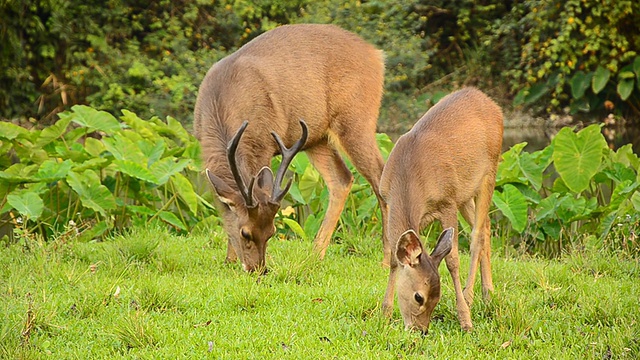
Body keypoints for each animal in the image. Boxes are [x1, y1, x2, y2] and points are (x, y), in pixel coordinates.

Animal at [192, 23, 388, 272]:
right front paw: (229, 260)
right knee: (342, 179)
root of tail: (377, 55)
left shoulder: (263, 144)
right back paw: (314, 255)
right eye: (245, 233)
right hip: (316, 137)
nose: (259, 269)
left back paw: (386, 260)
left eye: (272, 232)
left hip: (356, 119)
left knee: (379, 175)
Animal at [378, 86, 502, 332]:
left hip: (489, 172)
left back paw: (470, 296)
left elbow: (452, 260)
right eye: (419, 297)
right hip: (465, 192)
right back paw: (488, 293)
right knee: (486, 226)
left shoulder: (447, 202)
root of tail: (490, 102)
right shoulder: (387, 199)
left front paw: (465, 319)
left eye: (436, 298)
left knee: (477, 235)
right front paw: (385, 312)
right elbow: (395, 258)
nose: (421, 331)